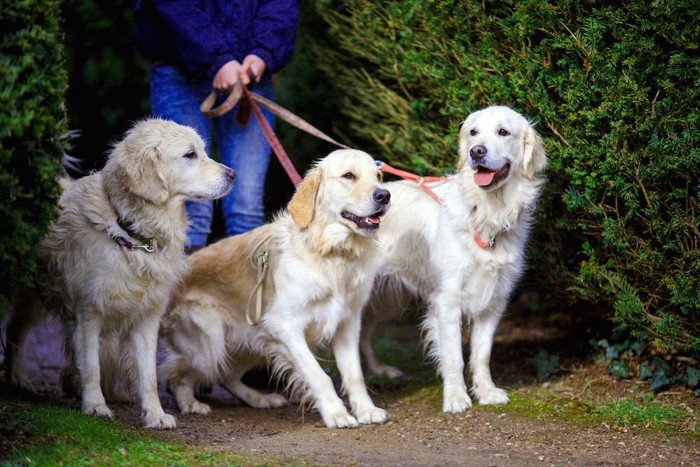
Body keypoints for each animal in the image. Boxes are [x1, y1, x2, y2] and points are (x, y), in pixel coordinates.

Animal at [4, 119, 235, 430]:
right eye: (190, 154)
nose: (232, 174)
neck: (132, 231)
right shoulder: (88, 311)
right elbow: (91, 366)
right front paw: (95, 406)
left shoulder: (147, 317)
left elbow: (148, 376)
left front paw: (155, 414)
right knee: (15, 330)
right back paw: (18, 377)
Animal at [160, 149, 394, 428]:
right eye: (349, 175)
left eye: (378, 176)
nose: (384, 195)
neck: (332, 253)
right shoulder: (285, 326)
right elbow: (319, 376)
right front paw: (336, 414)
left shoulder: (347, 323)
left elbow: (354, 374)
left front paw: (366, 410)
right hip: (211, 343)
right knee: (178, 375)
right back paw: (190, 403)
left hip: (253, 341)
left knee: (226, 376)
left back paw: (259, 399)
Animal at [360, 105, 548, 414]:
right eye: (473, 132)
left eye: (503, 131)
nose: (476, 151)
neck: (485, 213)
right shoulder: (447, 302)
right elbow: (454, 357)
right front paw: (456, 397)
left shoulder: (494, 301)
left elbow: (482, 355)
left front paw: (486, 392)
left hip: (384, 297)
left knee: (363, 332)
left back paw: (380, 370)